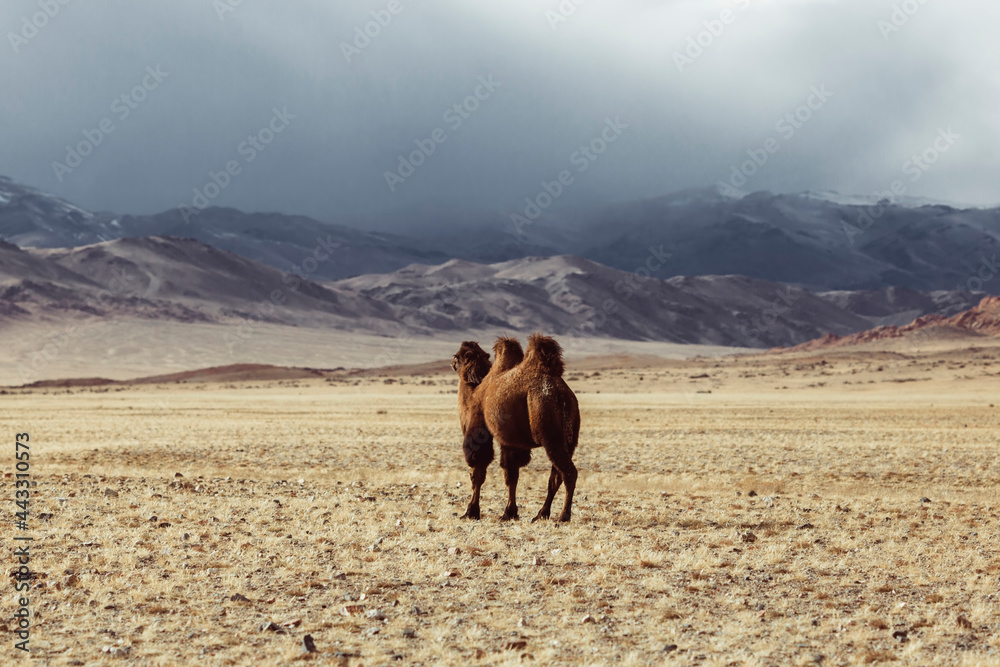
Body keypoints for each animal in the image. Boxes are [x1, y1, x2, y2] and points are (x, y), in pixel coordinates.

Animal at [451, 334, 580, 522]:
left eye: (457, 356)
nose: (452, 362)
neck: (474, 393)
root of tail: (562, 394)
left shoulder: (479, 428)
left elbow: (478, 472)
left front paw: (471, 512)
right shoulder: (512, 443)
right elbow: (512, 476)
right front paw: (509, 513)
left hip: (550, 433)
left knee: (569, 473)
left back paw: (563, 516)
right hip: (570, 439)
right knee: (555, 477)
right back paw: (541, 514)